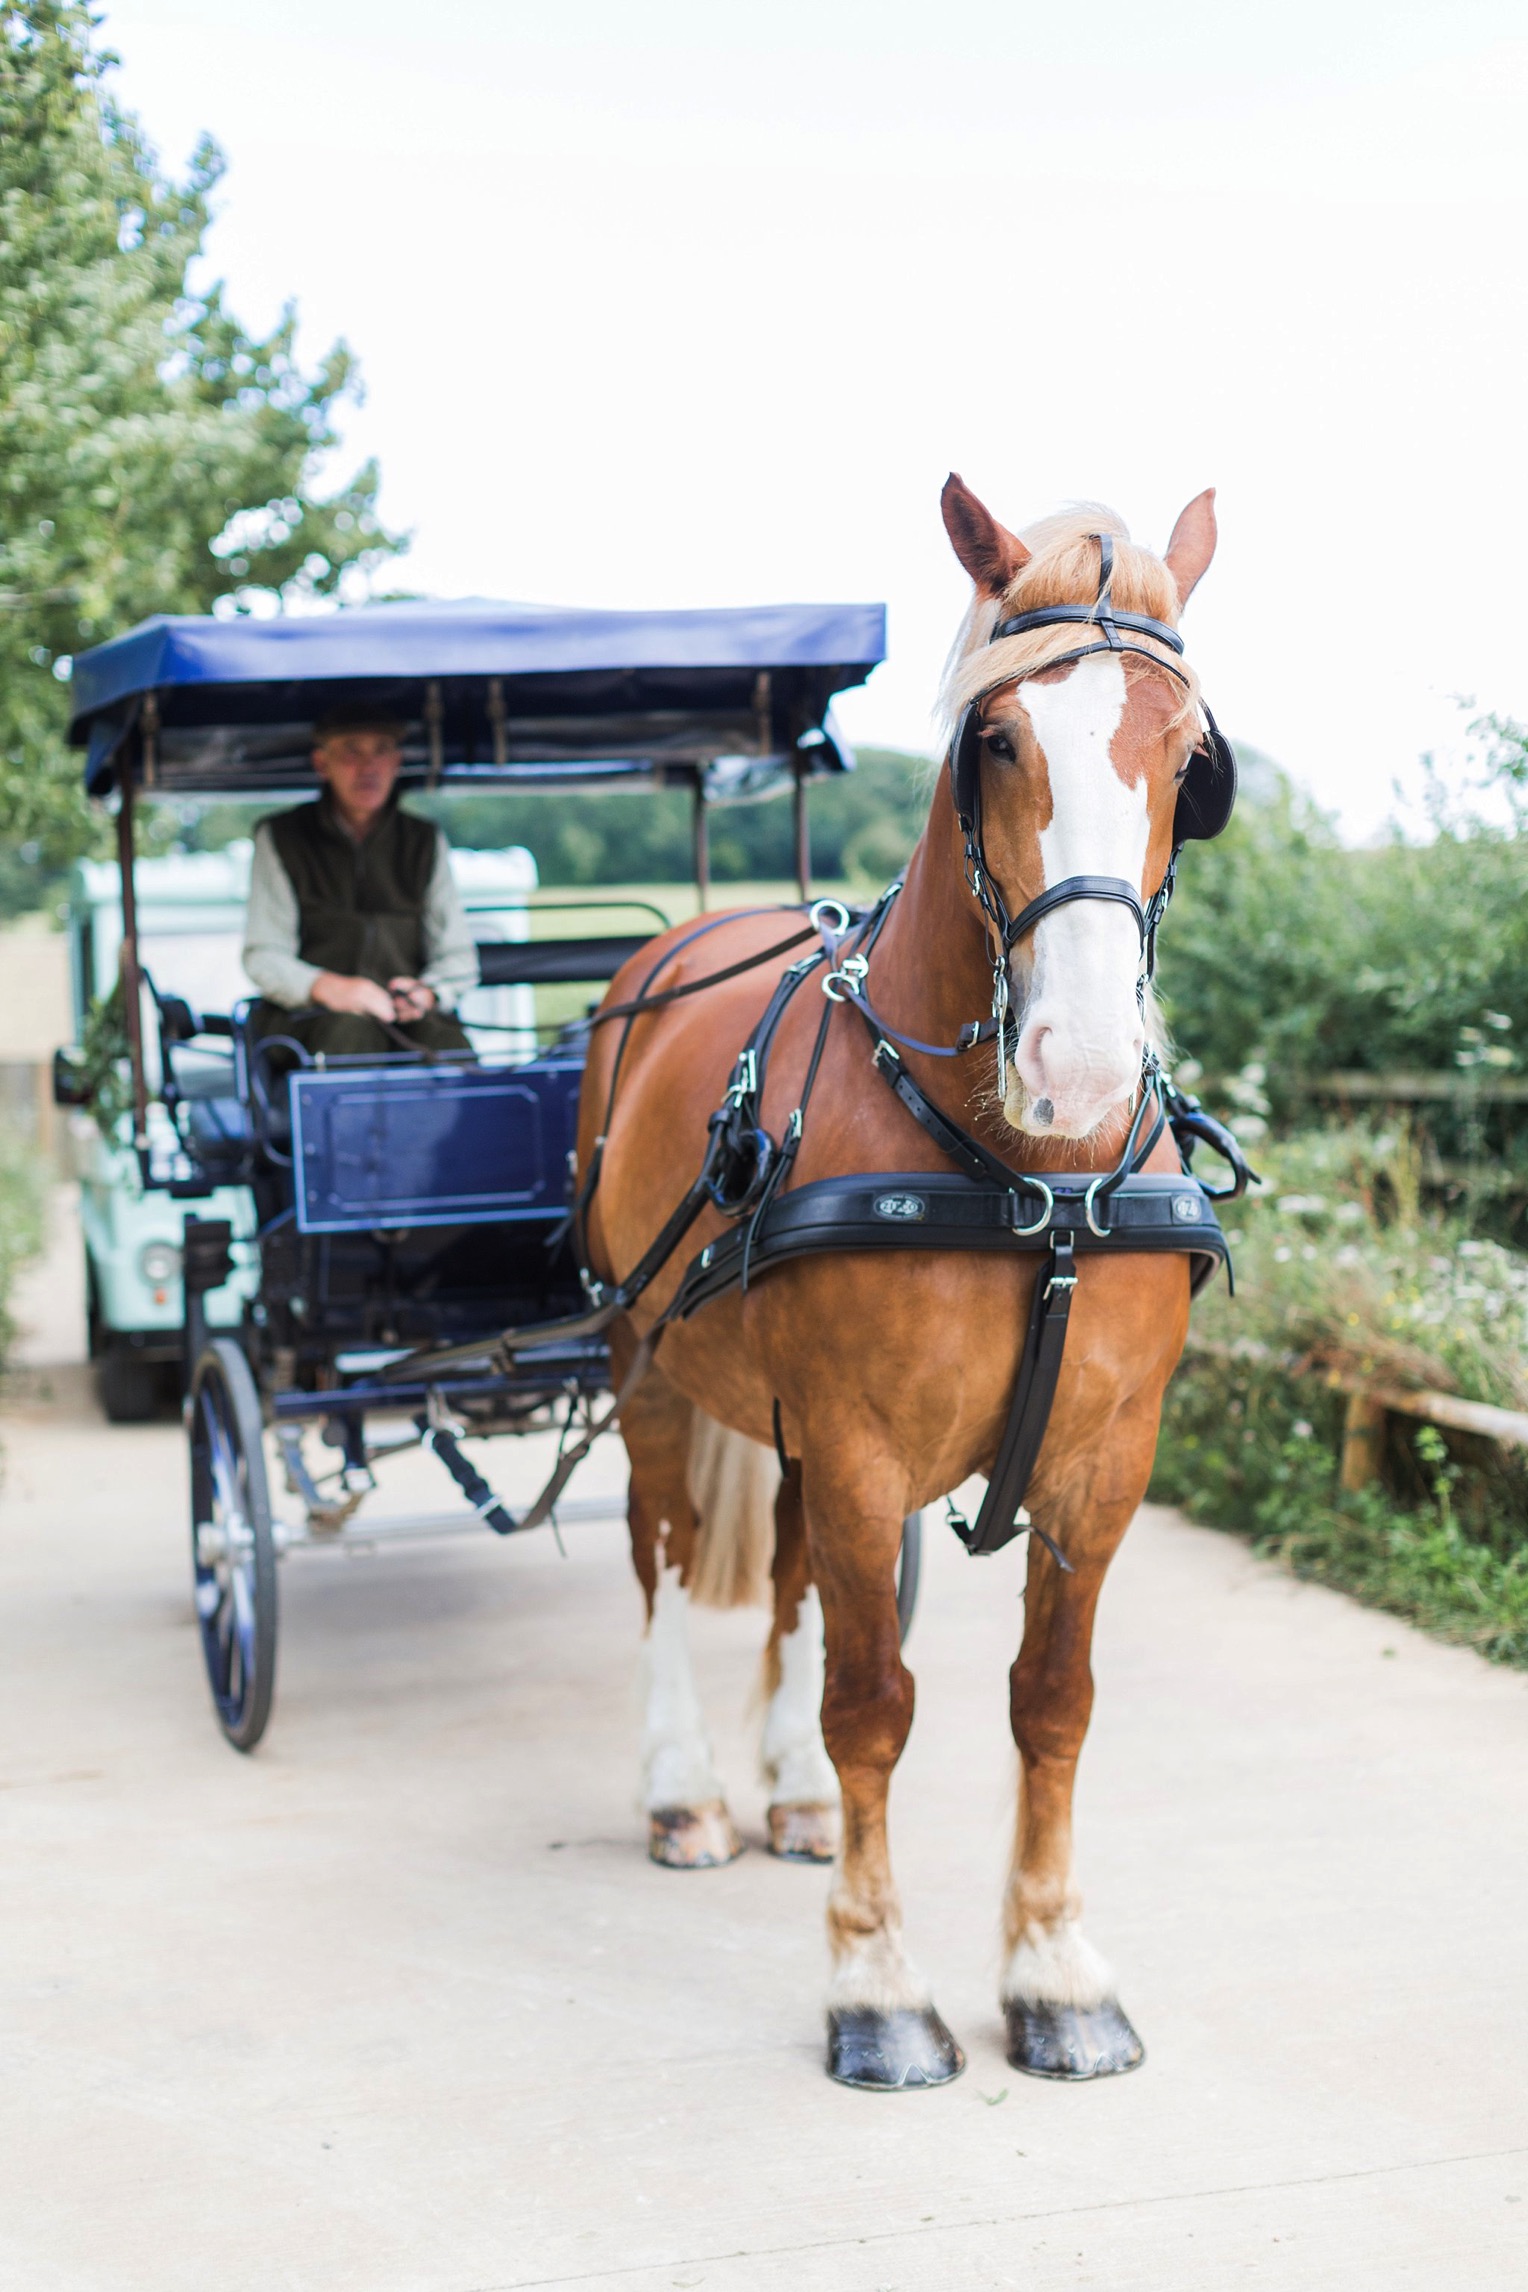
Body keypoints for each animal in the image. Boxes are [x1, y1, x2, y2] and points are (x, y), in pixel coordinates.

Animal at [579, 474, 1227, 2090]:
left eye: (1191, 760)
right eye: (994, 740)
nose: (1082, 1068)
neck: (1026, 1179)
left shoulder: (1103, 1460)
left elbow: (1050, 1705)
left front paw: (1054, 1970)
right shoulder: (866, 1447)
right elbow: (875, 1705)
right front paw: (874, 1988)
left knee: (787, 1574)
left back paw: (789, 1795)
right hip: (643, 1359)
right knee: (660, 1553)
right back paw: (684, 1788)